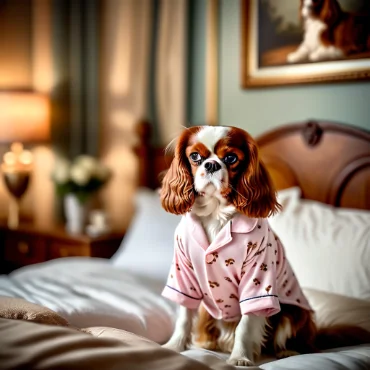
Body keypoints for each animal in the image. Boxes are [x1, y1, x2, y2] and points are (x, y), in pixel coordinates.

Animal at [158, 125, 316, 366]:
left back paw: (287, 351)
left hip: (294, 312)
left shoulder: (257, 280)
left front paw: (240, 357)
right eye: (194, 156)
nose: (211, 164)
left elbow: (246, 325)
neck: (215, 213)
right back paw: (207, 344)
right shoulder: (184, 274)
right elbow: (184, 316)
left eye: (231, 158)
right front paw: (174, 347)